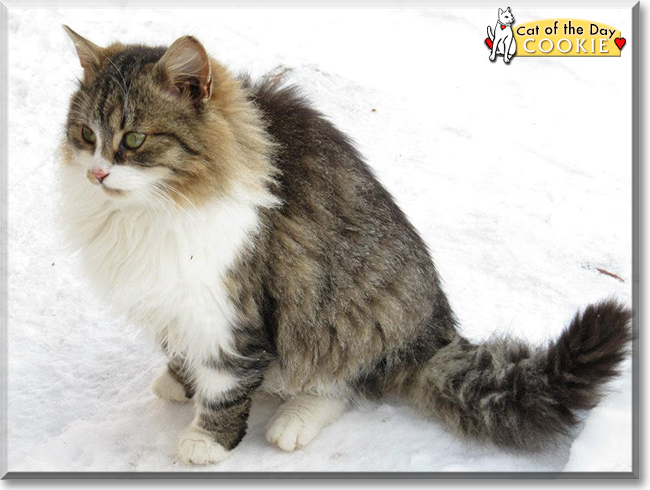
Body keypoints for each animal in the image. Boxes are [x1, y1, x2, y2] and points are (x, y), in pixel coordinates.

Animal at [59, 25, 628, 464]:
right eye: (87, 135)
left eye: (134, 140)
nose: (96, 173)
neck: (148, 212)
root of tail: (431, 331)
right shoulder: (173, 301)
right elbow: (181, 349)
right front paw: (179, 381)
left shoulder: (227, 307)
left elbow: (225, 385)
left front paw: (207, 442)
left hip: (345, 318)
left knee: (342, 385)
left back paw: (292, 423)